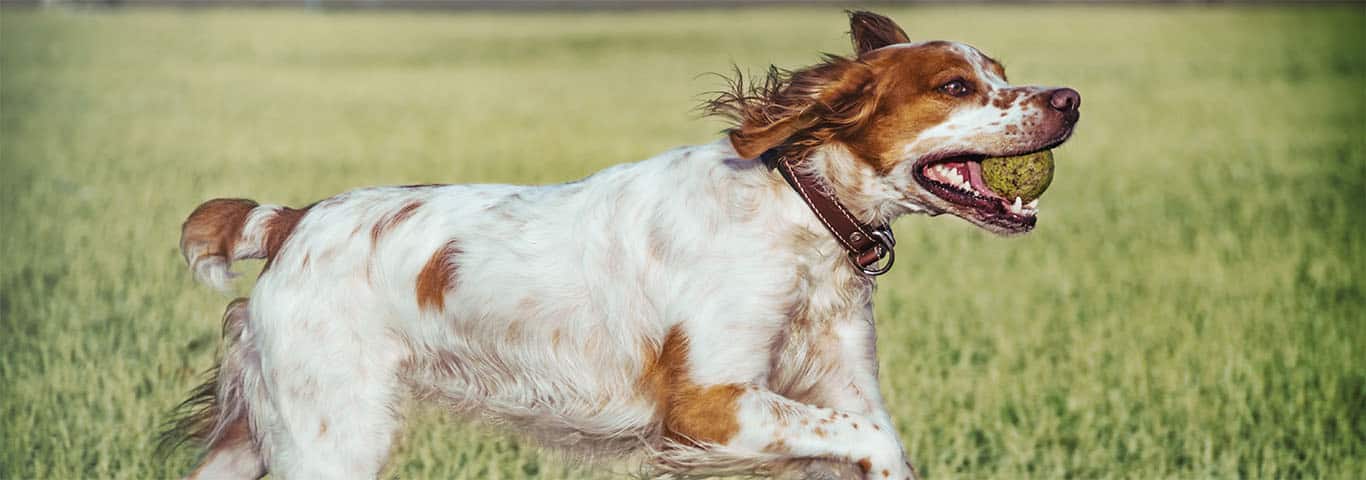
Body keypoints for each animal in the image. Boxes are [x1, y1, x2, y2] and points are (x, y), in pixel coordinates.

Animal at [162, 11, 1076, 480]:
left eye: (1000, 71)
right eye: (955, 87)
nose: (1068, 98)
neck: (797, 213)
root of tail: (292, 219)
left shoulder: (842, 386)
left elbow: (868, 432)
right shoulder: (709, 402)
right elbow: (880, 447)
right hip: (333, 434)